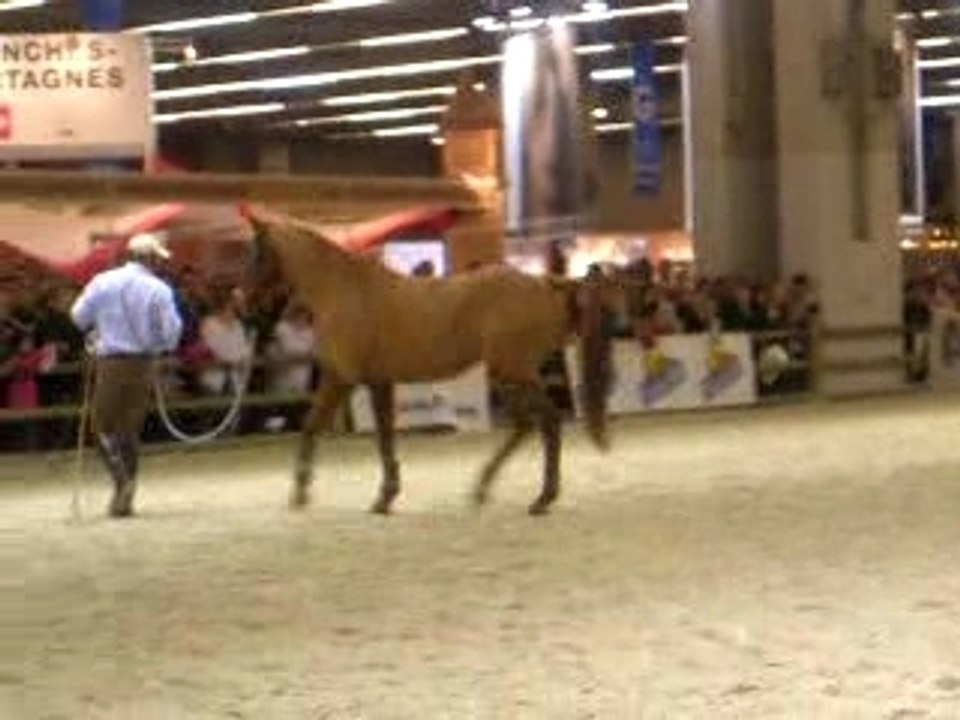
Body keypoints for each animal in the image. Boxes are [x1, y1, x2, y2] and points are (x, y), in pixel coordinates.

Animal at [239, 205, 612, 516]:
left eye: (257, 254)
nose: (244, 307)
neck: (343, 292)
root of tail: (547, 283)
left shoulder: (348, 379)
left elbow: (359, 434)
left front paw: (376, 497)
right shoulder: (359, 380)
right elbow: (329, 428)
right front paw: (309, 493)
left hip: (515, 372)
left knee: (549, 422)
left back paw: (542, 498)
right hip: (507, 375)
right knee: (525, 425)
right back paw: (482, 489)